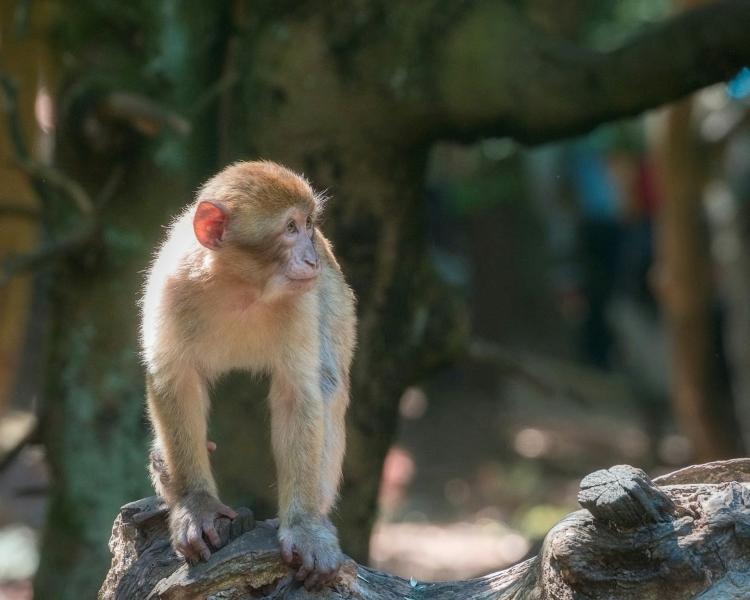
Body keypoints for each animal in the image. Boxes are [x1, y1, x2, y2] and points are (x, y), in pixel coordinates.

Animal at [141, 158, 358, 584]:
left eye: (309, 224)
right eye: (290, 228)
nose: (313, 260)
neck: (241, 288)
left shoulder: (301, 303)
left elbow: (299, 394)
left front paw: (305, 526)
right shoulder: (170, 289)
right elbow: (174, 380)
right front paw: (195, 503)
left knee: (328, 381)